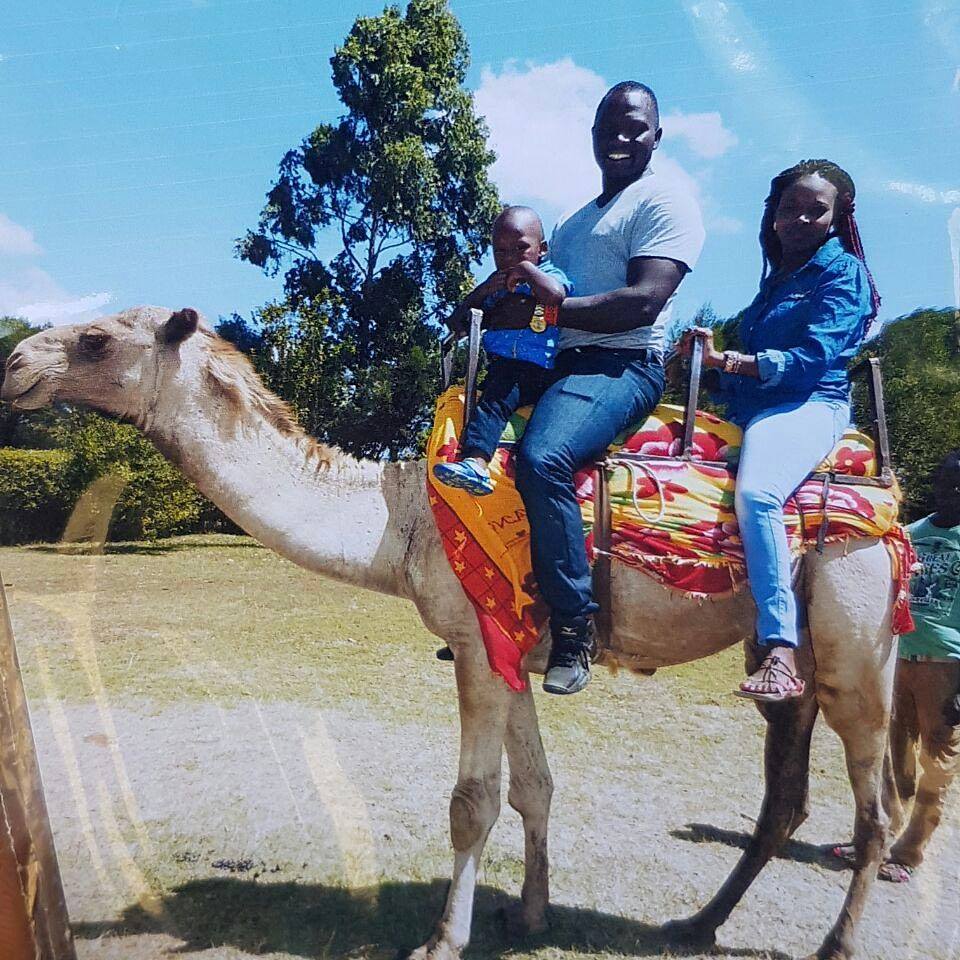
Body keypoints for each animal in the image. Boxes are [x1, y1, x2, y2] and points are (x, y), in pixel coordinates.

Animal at [1, 308, 900, 960]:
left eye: (95, 338)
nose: (14, 366)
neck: (399, 516)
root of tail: (888, 498)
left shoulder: (473, 642)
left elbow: (474, 802)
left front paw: (440, 940)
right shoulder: (514, 650)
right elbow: (535, 786)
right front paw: (530, 917)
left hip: (857, 636)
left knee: (872, 807)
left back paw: (837, 943)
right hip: (788, 654)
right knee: (784, 795)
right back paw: (697, 925)